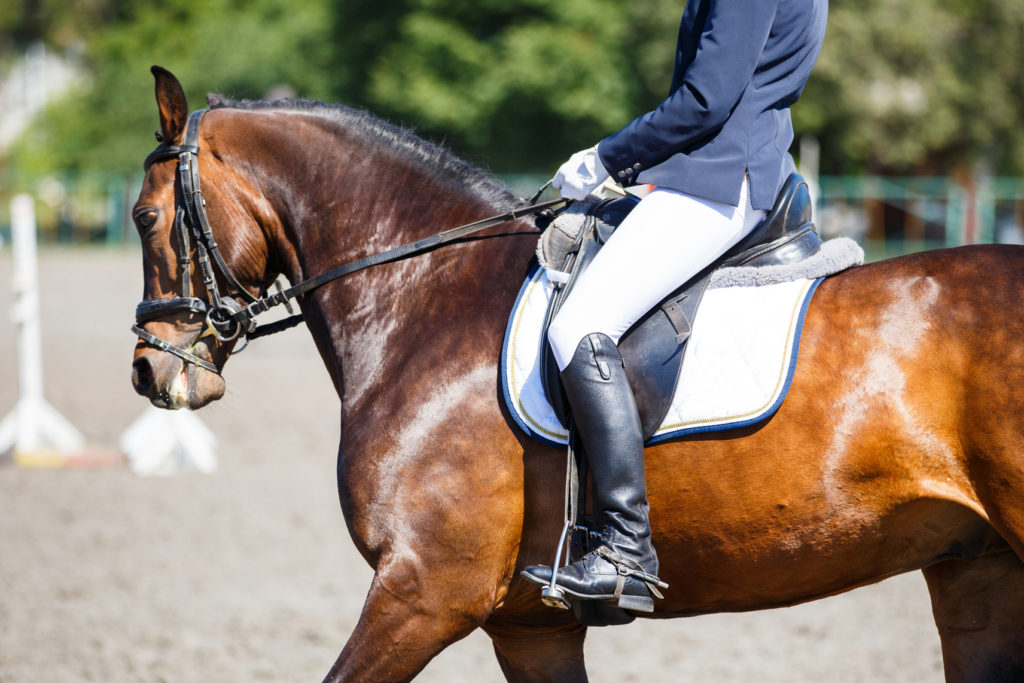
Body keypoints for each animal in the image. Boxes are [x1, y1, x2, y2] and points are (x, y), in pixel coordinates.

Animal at [130, 67, 1024, 682]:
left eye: (145, 216)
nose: (148, 368)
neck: (425, 294)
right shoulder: (531, 628)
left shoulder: (423, 590)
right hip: (974, 570)